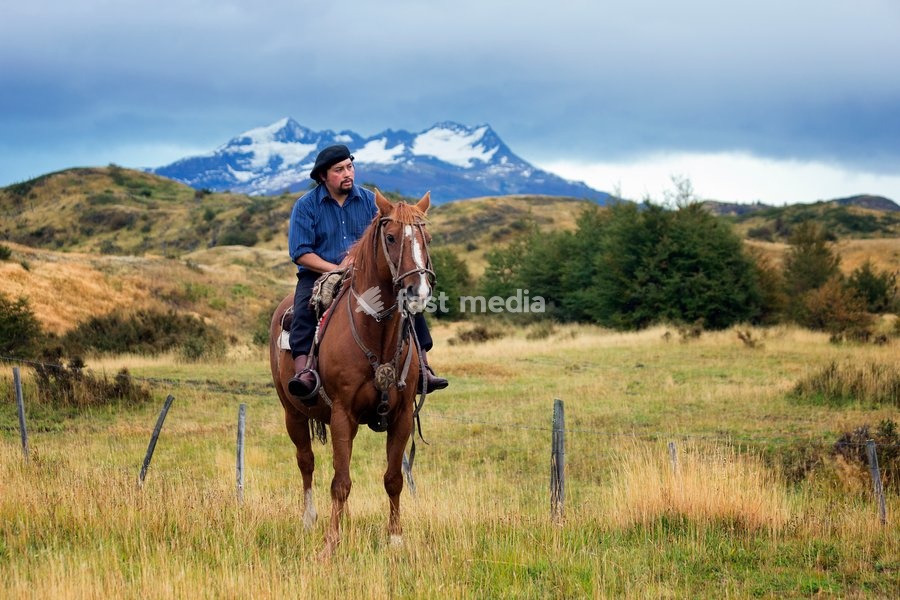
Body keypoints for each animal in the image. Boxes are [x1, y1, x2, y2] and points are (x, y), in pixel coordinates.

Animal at [268, 189, 434, 559]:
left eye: (427, 238)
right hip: (292, 413)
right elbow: (340, 483)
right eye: (391, 237)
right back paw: (309, 519)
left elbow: (393, 479)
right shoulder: (343, 414)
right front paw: (331, 544)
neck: (377, 336)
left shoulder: (402, 415)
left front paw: (395, 538)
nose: (418, 292)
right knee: (306, 462)